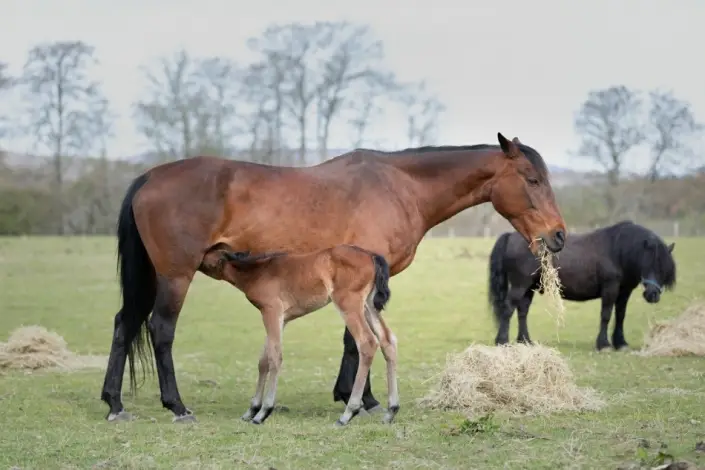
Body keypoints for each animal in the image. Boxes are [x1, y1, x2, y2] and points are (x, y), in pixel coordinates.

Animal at [198, 243, 398, 426]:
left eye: (207, 256)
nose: (194, 261)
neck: (258, 271)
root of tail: (371, 255)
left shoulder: (271, 312)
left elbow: (274, 357)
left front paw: (263, 412)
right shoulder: (281, 320)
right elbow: (263, 361)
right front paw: (251, 409)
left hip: (349, 304)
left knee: (367, 342)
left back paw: (348, 413)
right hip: (369, 306)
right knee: (388, 340)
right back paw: (391, 411)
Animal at [487, 220, 676, 351]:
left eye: (664, 268)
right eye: (648, 262)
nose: (653, 295)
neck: (618, 251)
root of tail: (511, 236)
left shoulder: (624, 291)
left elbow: (620, 315)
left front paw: (621, 343)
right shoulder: (610, 289)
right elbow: (606, 315)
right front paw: (604, 344)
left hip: (529, 287)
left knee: (522, 312)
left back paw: (525, 341)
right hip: (520, 285)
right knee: (508, 309)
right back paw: (502, 341)